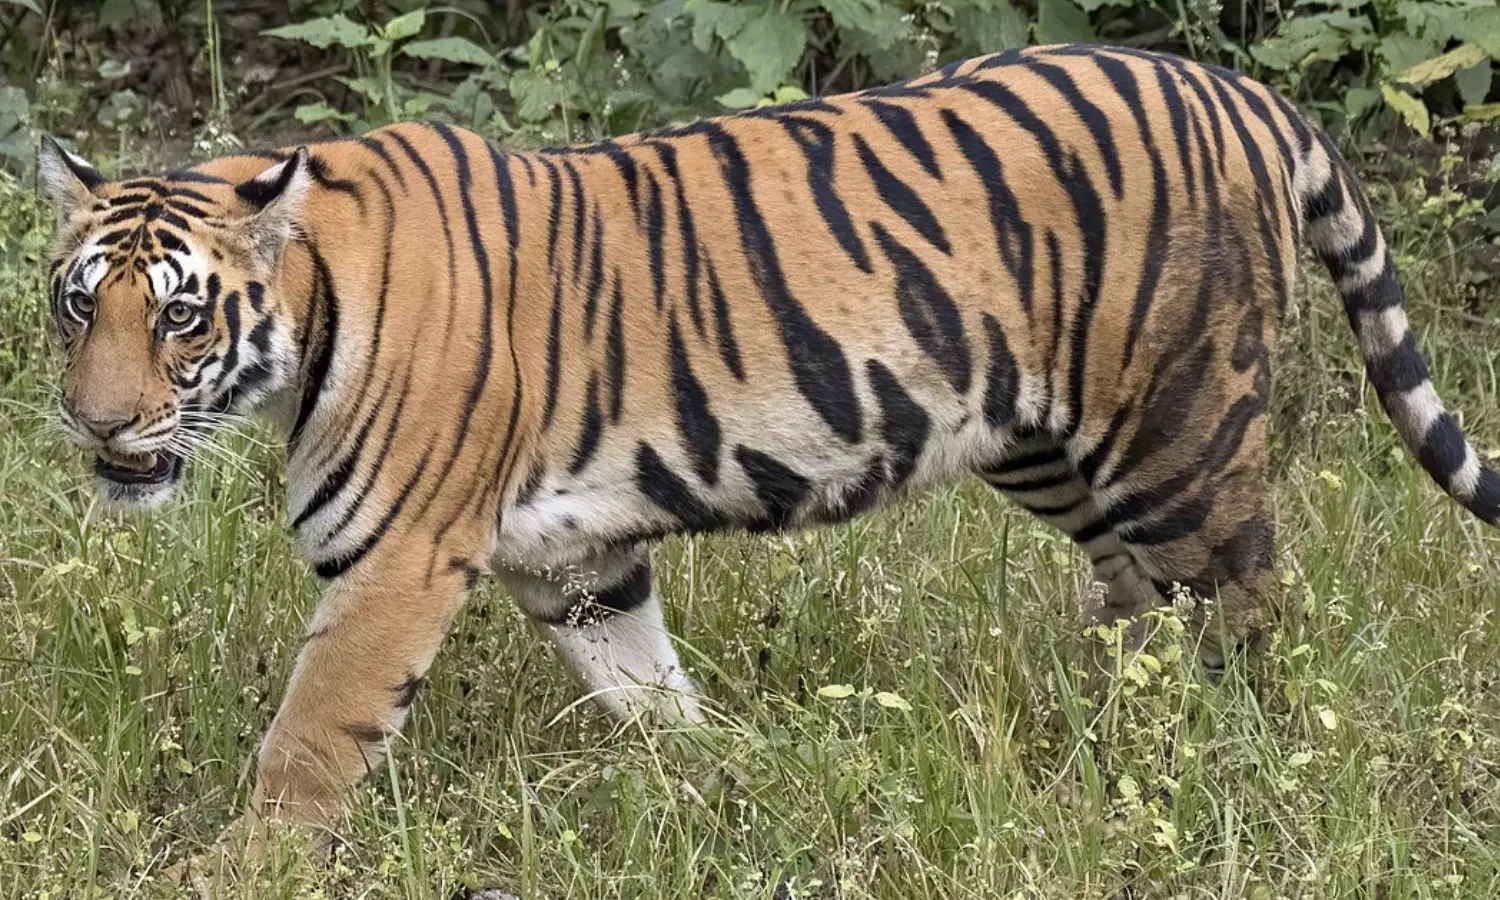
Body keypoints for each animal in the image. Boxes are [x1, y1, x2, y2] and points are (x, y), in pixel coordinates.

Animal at [40, 42, 1498, 872]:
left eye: (179, 315)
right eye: (75, 305)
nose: (97, 427)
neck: (309, 316)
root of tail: (1246, 92)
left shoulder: (396, 560)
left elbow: (311, 738)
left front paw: (239, 866)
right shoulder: (573, 560)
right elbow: (646, 689)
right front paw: (709, 787)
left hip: (1177, 428)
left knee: (1246, 610)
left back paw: (1229, 766)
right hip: (1043, 445)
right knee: (1144, 603)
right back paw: (1110, 732)